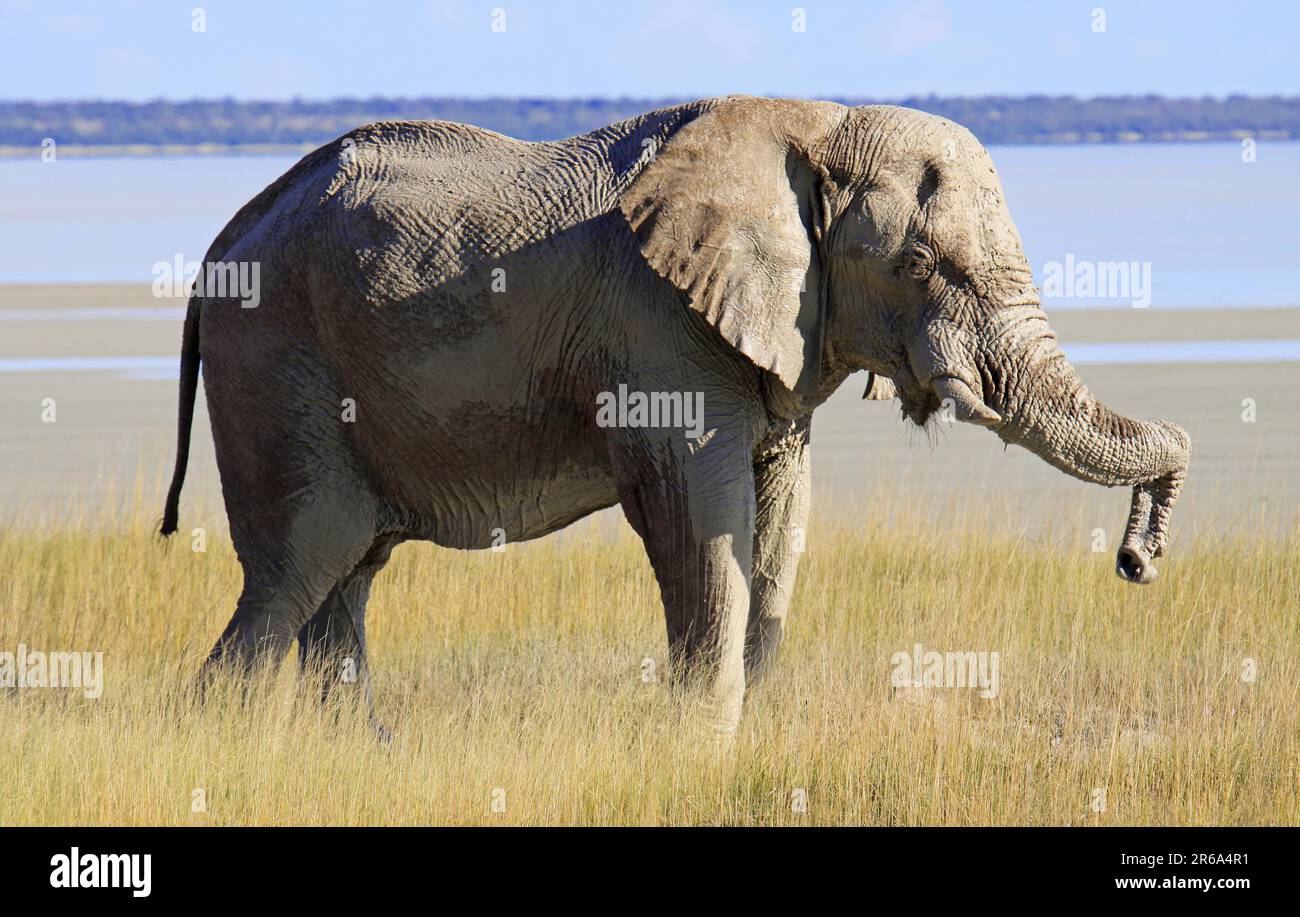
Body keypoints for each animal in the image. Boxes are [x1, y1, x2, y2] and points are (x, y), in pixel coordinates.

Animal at [159, 96, 1190, 733]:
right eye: (920, 264)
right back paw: (218, 741)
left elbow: (776, 530)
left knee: (345, 581)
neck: (815, 121)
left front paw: (744, 734)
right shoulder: (659, 332)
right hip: (278, 374)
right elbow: (703, 525)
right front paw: (702, 744)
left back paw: (363, 751)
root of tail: (220, 244)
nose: (1136, 558)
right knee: (295, 573)